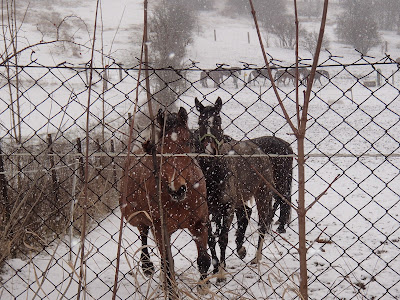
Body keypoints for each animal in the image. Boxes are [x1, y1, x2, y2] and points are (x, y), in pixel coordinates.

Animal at [119, 106, 211, 292]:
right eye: (161, 148)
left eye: (187, 142)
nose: (177, 189)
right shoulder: (160, 228)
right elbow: (168, 263)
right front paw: (170, 288)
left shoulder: (200, 223)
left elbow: (204, 259)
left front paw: (203, 286)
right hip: (140, 219)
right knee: (143, 233)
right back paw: (147, 267)